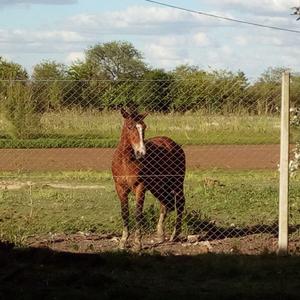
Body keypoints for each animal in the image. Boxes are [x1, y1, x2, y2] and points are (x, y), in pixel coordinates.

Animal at [111, 109, 185, 250]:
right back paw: (160, 234)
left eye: (144, 127)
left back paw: (174, 234)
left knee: (179, 203)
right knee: (165, 203)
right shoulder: (120, 188)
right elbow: (125, 213)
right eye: (130, 126)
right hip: (158, 186)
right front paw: (123, 241)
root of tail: (174, 145)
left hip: (176, 183)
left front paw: (137, 243)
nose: (141, 153)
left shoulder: (140, 187)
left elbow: (138, 214)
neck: (125, 161)